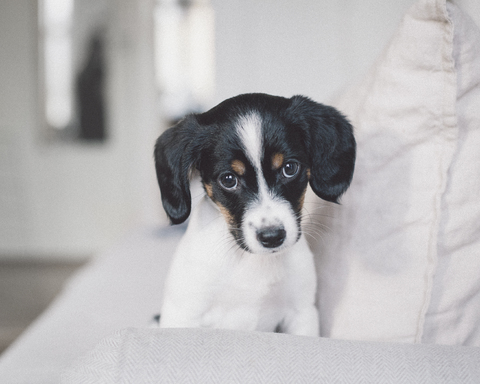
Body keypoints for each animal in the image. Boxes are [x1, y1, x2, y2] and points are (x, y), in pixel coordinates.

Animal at [155, 94, 356, 336]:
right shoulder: (183, 314)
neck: (252, 261)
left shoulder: (301, 314)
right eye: (228, 179)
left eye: (290, 168)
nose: (272, 237)